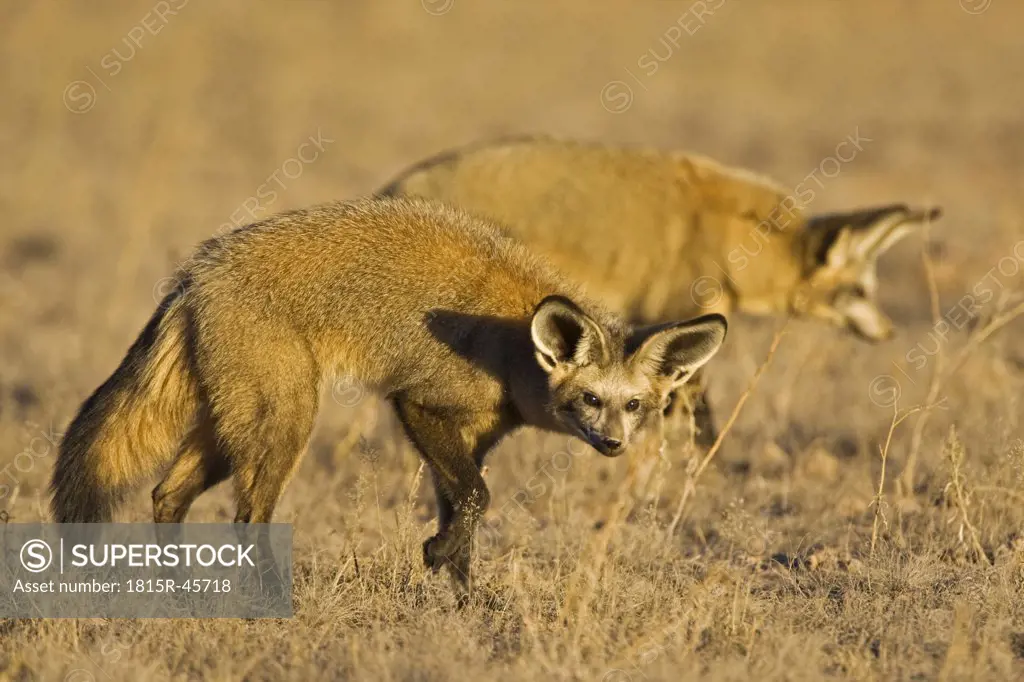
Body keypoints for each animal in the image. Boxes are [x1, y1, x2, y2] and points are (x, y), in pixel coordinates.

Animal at [49, 196, 729, 593]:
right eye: (591, 400)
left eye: (634, 406)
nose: (613, 444)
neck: (513, 348)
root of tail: (198, 268)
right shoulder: (417, 405)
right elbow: (478, 499)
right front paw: (438, 561)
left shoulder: (473, 438)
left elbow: (465, 514)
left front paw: (462, 599)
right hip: (284, 425)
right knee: (248, 519)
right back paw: (265, 597)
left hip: (230, 429)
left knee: (167, 494)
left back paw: (180, 586)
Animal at [378, 135, 942, 448]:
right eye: (860, 291)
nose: (890, 331)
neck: (736, 234)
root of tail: (393, 191)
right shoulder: (683, 313)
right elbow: (695, 413)